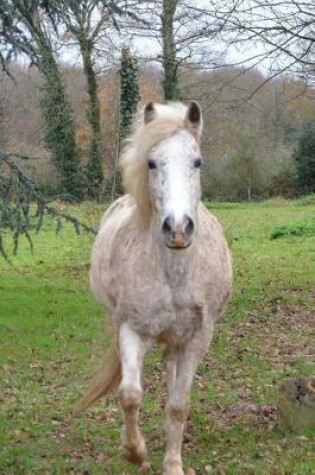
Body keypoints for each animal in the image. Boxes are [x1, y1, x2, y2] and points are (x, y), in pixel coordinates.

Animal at [77, 102, 232, 474]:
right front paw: (134, 451)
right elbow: (130, 394)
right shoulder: (132, 330)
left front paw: (173, 463)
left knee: (171, 376)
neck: (173, 273)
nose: (177, 228)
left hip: (177, 340)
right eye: (151, 162)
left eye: (197, 161)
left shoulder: (197, 340)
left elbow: (178, 405)